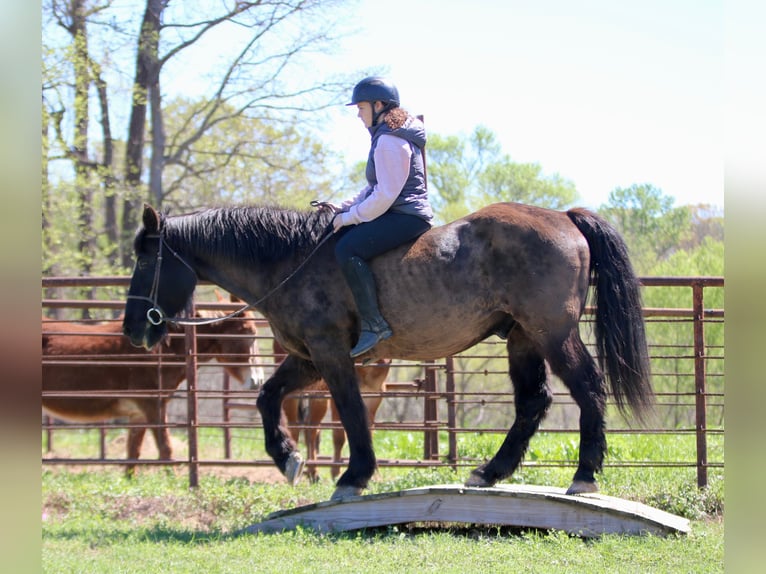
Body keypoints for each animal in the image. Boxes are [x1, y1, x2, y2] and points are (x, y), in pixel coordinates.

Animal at [43, 304, 263, 476]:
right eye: (249, 334)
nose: (258, 380)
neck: (161, 349)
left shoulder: (138, 413)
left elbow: (133, 451)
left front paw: (129, 482)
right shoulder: (151, 405)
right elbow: (165, 448)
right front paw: (175, 480)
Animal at [274, 339, 391, 482]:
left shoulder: (374, 395)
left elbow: (368, 431)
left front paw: (373, 476)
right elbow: (339, 436)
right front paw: (335, 472)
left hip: (318, 397)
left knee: (311, 429)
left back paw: (312, 472)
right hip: (295, 396)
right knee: (295, 428)